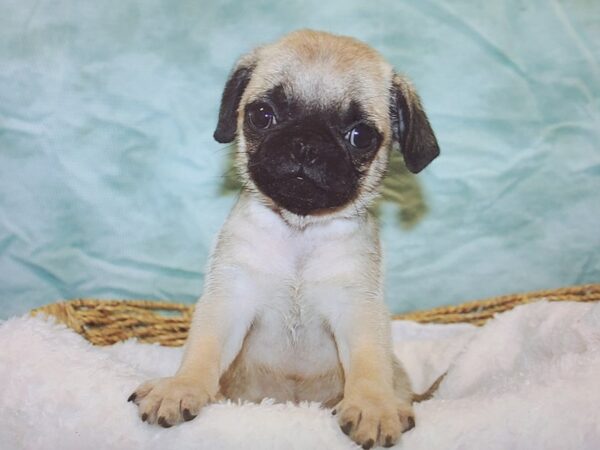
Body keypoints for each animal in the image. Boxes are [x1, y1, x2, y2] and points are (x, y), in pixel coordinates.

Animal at [130, 29, 440, 448]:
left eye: (360, 136)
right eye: (262, 115)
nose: (304, 144)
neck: (299, 231)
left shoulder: (357, 309)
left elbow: (368, 364)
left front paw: (373, 406)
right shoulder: (231, 297)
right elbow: (203, 349)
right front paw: (182, 387)